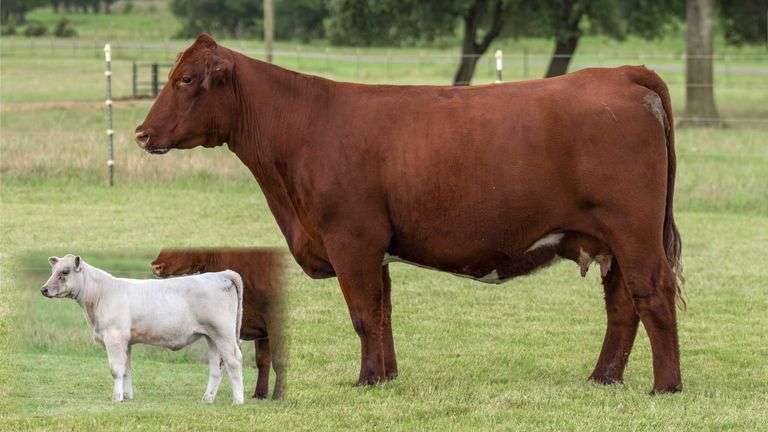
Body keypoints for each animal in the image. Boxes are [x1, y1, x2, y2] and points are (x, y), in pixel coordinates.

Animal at [40, 254, 245, 404]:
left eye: (65, 272)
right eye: (53, 270)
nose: (44, 290)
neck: (100, 295)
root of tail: (220, 274)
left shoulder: (114, 336)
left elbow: (116, 369)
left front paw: (116, 398)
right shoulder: (126, 341)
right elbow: (126, 369)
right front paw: (127, 396)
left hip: (223, 333)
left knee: (234, 361)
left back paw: (238, 400)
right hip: (212, 336)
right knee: (217, 366)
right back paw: (207, 399)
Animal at [150, 247, 286, 400]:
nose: (156, 266)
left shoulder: (275, 319)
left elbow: (279, 359)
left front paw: (279, 395)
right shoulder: (262, 329)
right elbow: (262, 359)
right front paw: (260, 394)